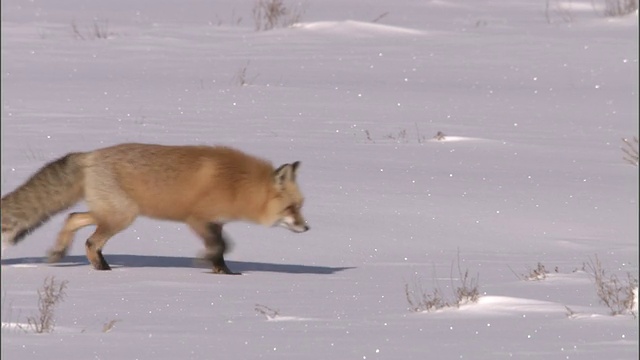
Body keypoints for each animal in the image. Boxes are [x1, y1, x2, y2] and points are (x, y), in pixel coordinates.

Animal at [0, 143, 310, 272]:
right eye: (291, 208)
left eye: (300, 206)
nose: (307, 227)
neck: (237, 184)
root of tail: (90, 155)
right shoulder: (198, 220)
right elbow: (220, 247)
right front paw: (212, 266)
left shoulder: (215, 223)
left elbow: (222, 249)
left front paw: (221, 271)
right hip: (122, 216)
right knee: (91, 241)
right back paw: (103, 270)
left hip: (110, 213)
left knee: (73, 217)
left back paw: (59, 252)